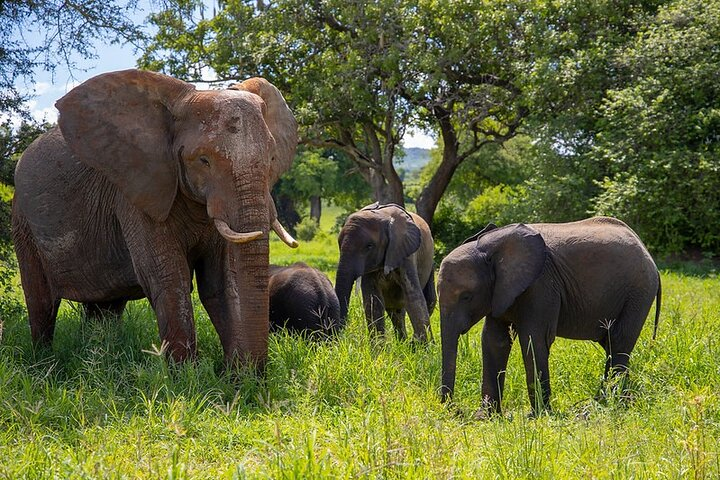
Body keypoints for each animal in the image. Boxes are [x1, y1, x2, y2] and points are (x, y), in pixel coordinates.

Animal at [11, 69, 299, 366]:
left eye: (272, 158)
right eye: (203, 160)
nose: (248, 370)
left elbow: (220, 283)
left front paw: (236, 374)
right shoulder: (135, 195)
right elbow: (169, 280)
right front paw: (187, 374)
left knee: (105, 307)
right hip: (22, 222)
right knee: (41, 302)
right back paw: (45, 363)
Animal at [334, 202, 436, 342]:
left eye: (369, 246)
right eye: (339, 244)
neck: (383, 216)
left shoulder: (405, 253)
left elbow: (413, 296)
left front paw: (423, 346)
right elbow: (373, 301)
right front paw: (378, 347)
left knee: (429, 301)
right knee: (396, 312)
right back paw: (402, 342)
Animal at [438, 217, 661, 416]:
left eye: (466, 296)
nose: (456, 410)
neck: (488, 248)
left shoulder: (541, 285)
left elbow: (533, 339)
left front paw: (537, 416)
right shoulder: (499, 292)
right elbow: (495, 341)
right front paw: (487, 416)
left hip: (638, 292)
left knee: (619, 343)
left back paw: (610, 405)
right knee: (611, 345)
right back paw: (607, 402)